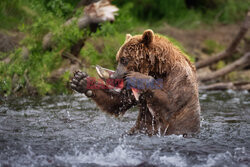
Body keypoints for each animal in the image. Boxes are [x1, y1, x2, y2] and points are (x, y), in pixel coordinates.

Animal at [70, 28, 199, 136]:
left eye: (124, 59)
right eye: (117, 59)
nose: (116, 75)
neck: (159, 69)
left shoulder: (178, 78)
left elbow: (170, 105)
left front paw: (137, 77)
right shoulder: (135, 92)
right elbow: (119, 101)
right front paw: (81, 80)